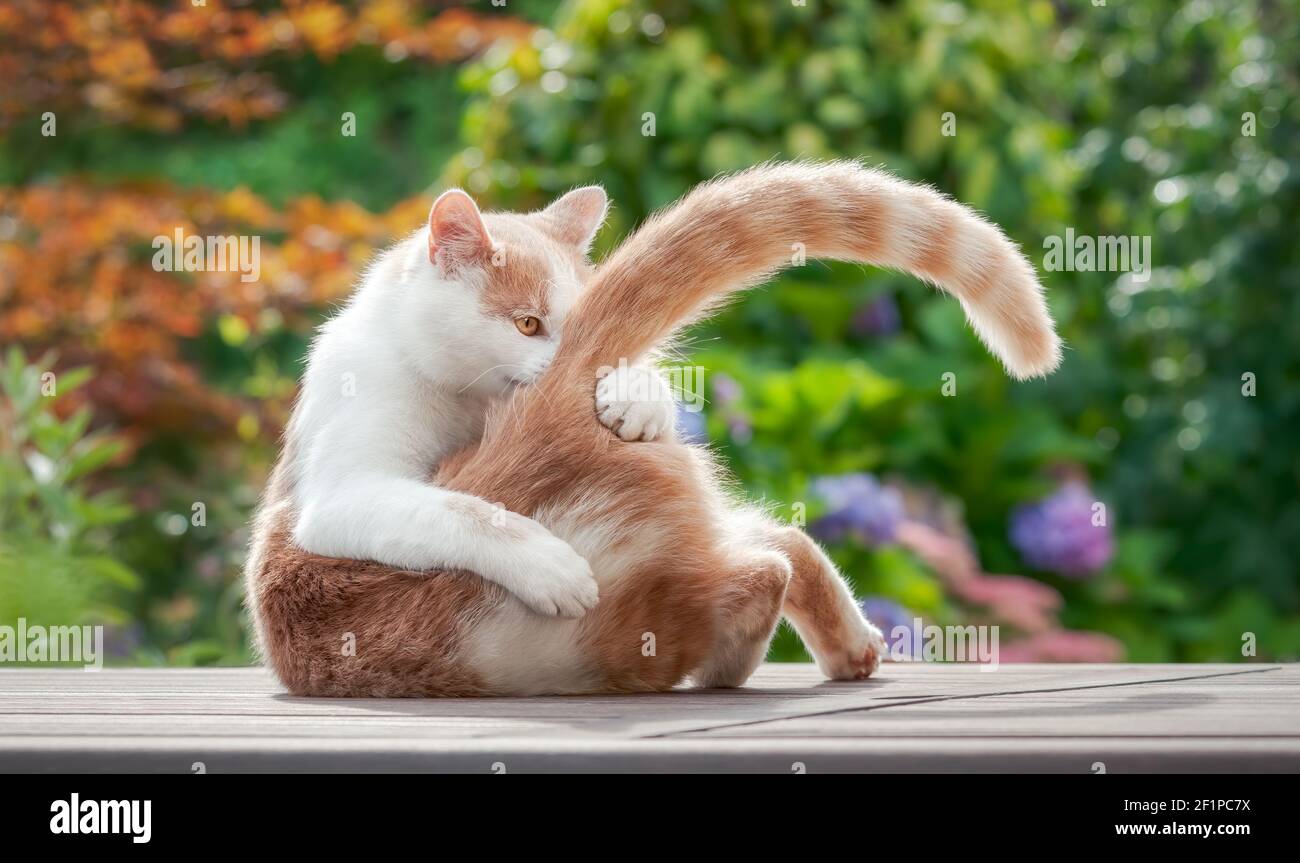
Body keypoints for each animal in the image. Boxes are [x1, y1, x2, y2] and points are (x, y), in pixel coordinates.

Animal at [280, 188, 676, 621]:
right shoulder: (343, 493)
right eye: (528, 324)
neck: (463, 395)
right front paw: (545, 564)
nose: (570, 365)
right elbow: (461, 511)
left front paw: (638, 390)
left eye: (587, 328)